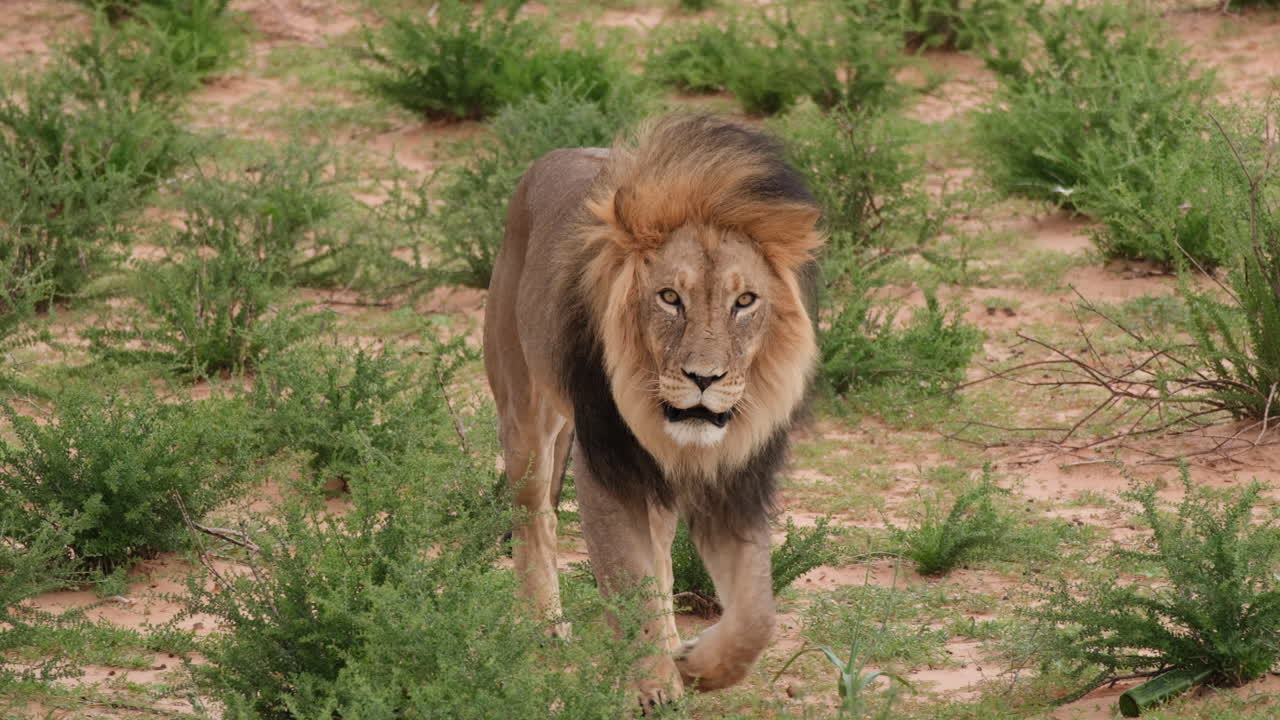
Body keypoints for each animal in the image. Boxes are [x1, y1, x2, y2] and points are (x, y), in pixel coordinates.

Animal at [483, 113, 823, 711]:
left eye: (744, 302)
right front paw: (656, 688)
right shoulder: (606, 469)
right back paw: (545, 623)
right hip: (525, 413)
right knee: (535, 515)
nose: (705, 379)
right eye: (669, 298)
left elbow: (756, 615)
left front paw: (697, 667)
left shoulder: (734, 481)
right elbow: (628, 580)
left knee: (660, 561)